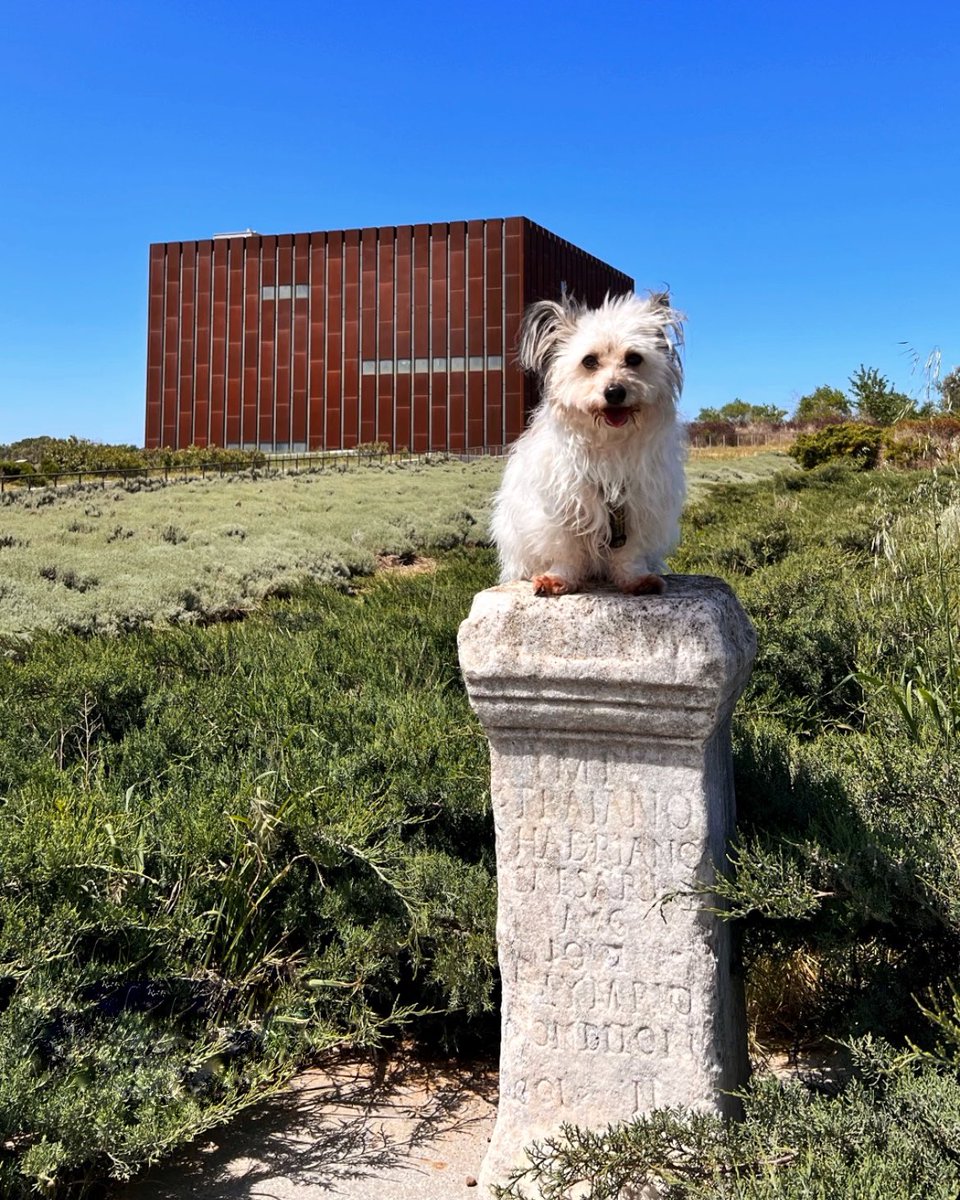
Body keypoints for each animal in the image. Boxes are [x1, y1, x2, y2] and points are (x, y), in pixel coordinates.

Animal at [492, 286, 686, 595]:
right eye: (589, 361)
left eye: (634, 358)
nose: (615, 392)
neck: (609, 442)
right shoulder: (564, 507)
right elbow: (566, 552)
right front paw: (557, 578)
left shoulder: (638, 508)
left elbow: (630, 553)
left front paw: (635, 578)